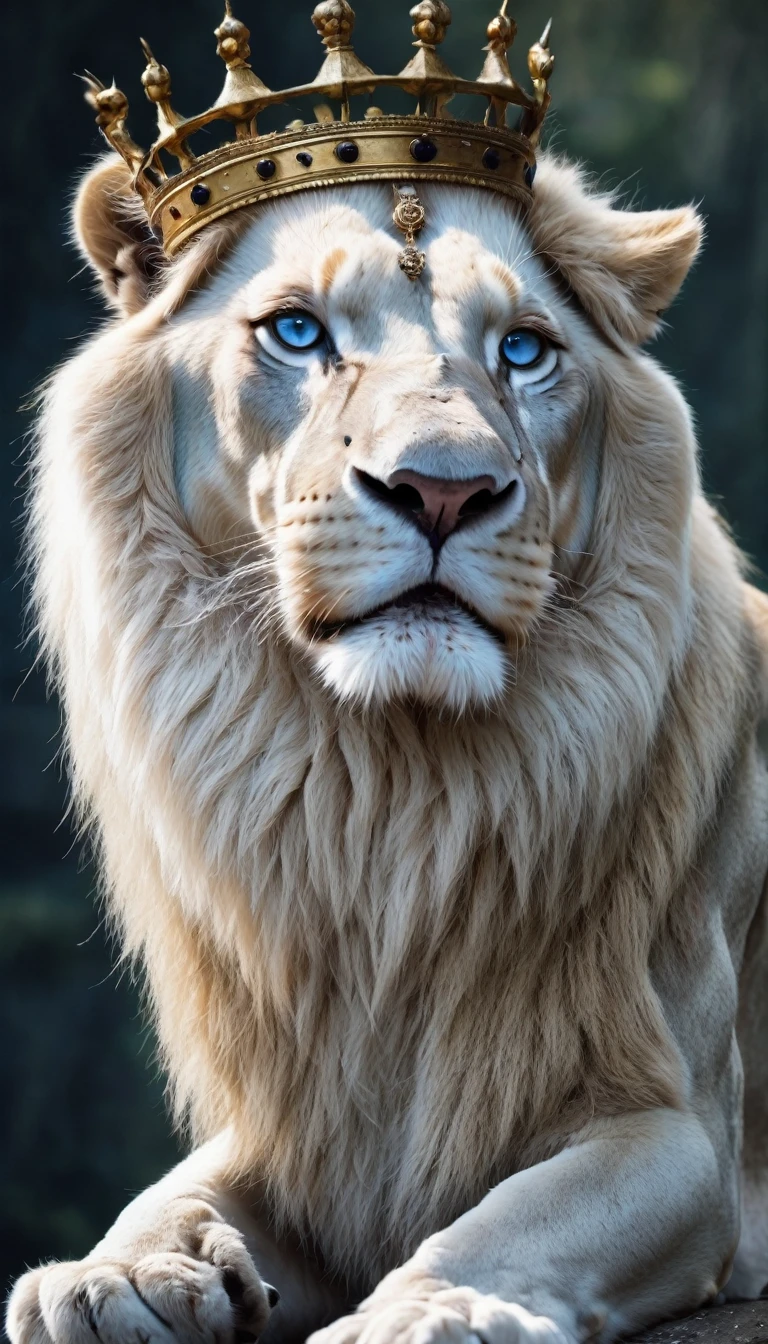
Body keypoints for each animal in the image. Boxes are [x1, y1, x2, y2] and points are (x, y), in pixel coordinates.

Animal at [6, 149, 768, 1344]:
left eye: (524, 350)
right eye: (297, 331)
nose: (444, 490)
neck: (385, 802)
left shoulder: (681, 1132)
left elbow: (514, 1219)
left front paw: (425, 1310)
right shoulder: (304, 1133)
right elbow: (172, 1189)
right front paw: (118, 1272)